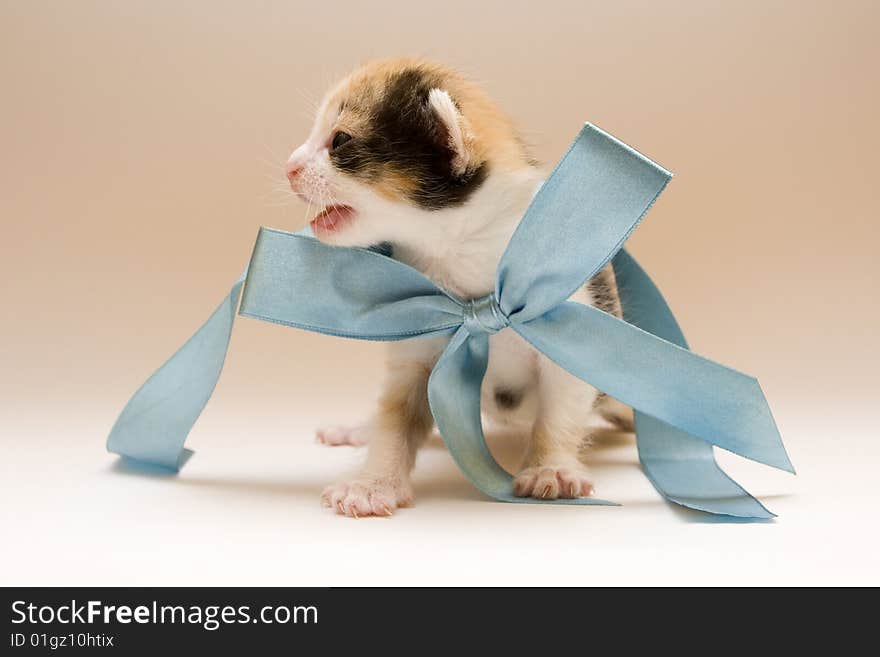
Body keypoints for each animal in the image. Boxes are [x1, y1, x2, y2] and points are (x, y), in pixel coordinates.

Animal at [286, 59, 628, 516]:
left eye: (340, 140)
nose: (289, 167)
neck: (458, 252)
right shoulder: (415, 341)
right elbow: (396, 417)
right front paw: (373, 483)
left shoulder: (572, 323)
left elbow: (560, 411)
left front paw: (550, 468)